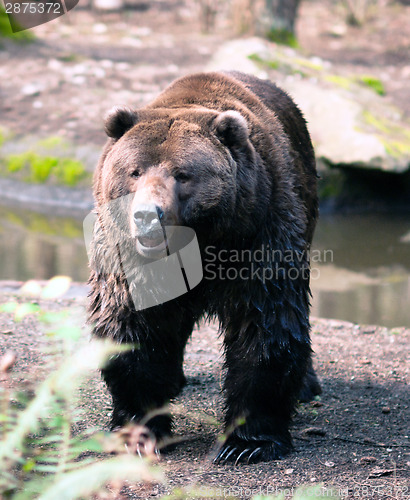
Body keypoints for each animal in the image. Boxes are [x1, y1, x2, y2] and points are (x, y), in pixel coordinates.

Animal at [88, 71, 322, 464]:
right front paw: (141, 430)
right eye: (134, 171)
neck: (199, 243)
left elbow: (265, 324)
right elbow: (130, 325)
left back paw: (307, 385)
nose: (147, 215)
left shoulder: (259, 233)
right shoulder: (129, 257)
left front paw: (246, 442)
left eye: (183, 174)